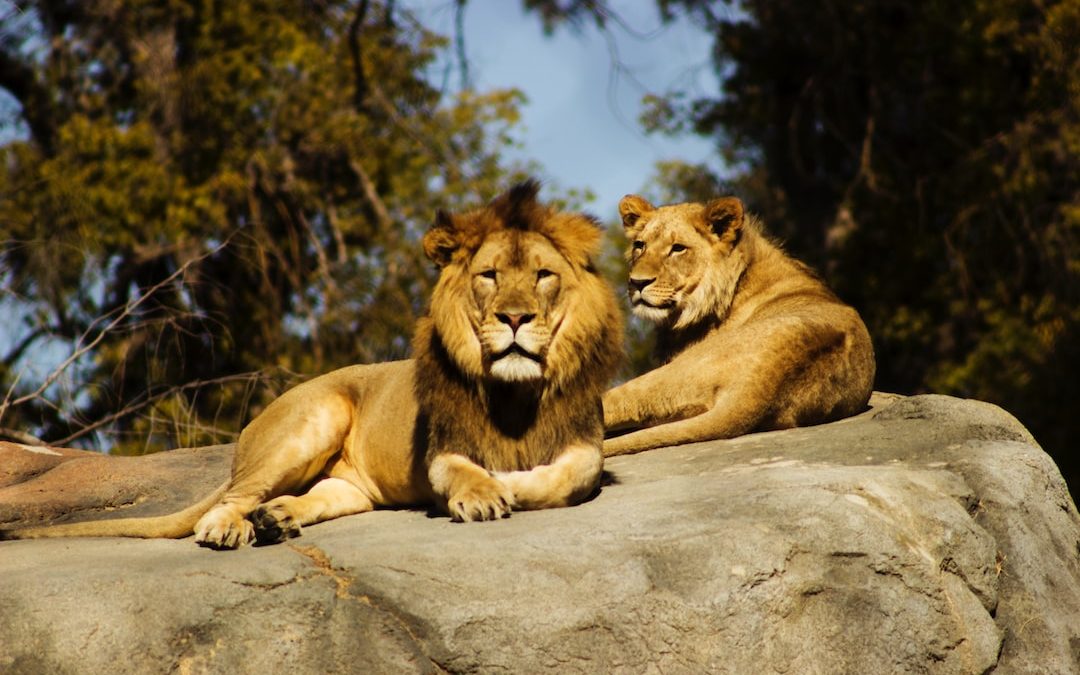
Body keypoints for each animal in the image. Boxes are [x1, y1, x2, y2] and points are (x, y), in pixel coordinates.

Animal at [2, 180, 626, 548]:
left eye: (543, 275)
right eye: (490, 276)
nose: (515, 317)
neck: (517, 392)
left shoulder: (584, 443)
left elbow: (569, 476)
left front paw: (513, 484)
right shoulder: (441, 450)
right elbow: (463, 470)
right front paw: (485, 491)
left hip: (350, 486)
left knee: (318, 496)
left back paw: (276, 518)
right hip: (312, 422)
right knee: (226, 501)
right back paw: (231, 527)